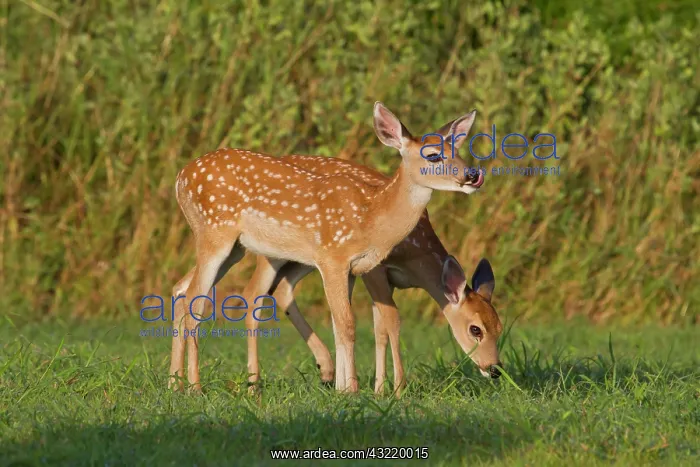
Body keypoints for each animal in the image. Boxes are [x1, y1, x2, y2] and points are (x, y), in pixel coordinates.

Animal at [241, 154, 503, 396]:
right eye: (475, 329)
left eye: (500, 328)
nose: (494, 369)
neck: (415, 256)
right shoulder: (373, 269)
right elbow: (391, 322)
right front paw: (394, 389)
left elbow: (379, 330)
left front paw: (378, 389)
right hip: (273, 251)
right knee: (254, 291)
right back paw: (255, 386)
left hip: (308, 258)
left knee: (283, 289)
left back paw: (326, 369)